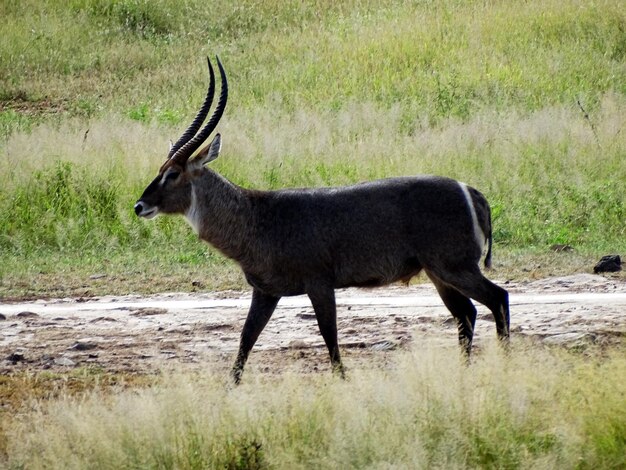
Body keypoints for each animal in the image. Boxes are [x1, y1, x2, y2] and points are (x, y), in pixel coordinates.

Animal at [133, 57, 508, 384]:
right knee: (467, 315)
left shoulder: (319, 283)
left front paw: (343, 382)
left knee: (497, 299)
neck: (257, 217)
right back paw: (464, 372)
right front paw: (229, 389)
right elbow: (245, 340)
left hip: (454, 267)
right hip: (438, 273)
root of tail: (472, 191)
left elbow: (329, 337)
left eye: (173, 173)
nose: (139, 205)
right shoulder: (265, 292)